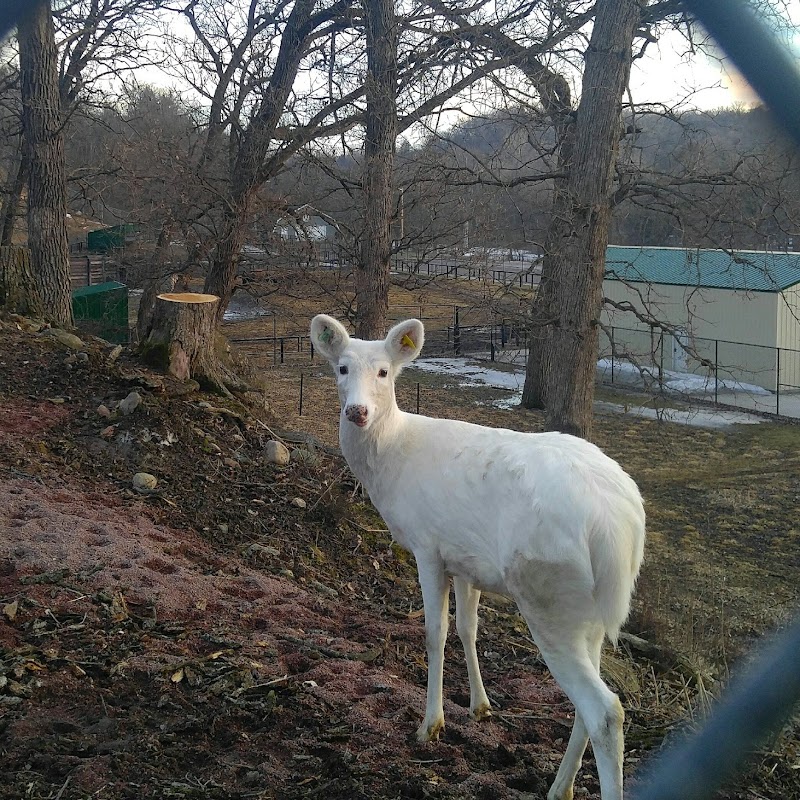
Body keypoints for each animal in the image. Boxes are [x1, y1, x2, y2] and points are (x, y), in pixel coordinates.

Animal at [310, 314, 648, 800]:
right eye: (341, 368)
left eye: (384, 372)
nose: (357, 412)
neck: (391, 464)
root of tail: (619, 524)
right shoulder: (466, 560)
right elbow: (468, 628)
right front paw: (480, 706)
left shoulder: (428, 544)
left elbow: (435, 631)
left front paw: (430, 725)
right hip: (591, 611)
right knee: (590, 699)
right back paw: (558, 786)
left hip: (547, 592)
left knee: (605, 709)